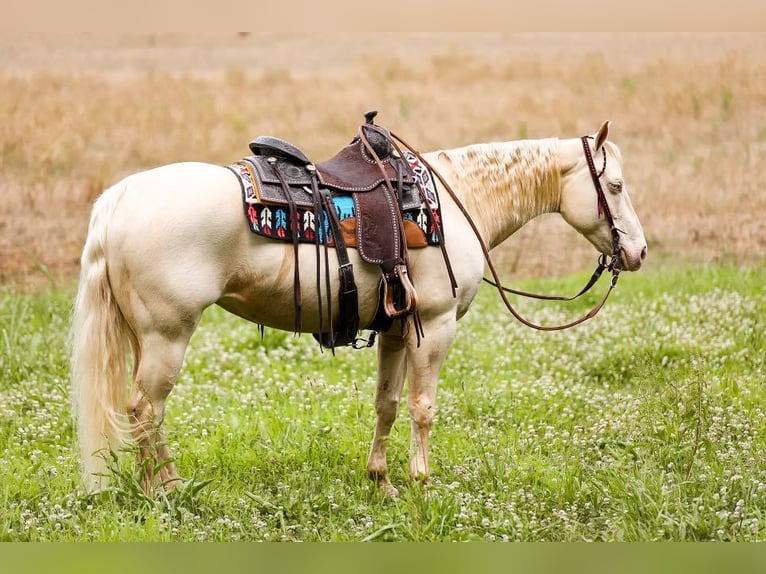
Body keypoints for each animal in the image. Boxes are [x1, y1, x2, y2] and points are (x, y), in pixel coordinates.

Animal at [71, 120, 647, 496]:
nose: (638, 252)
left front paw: (381, 481)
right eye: (615, 186)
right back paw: (165, 490)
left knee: (141, 413)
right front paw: (420, 483)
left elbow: (386, 404)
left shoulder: (394, 329)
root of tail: (117, 201)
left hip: (143, 335)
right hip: (167, 336)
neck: (457, 200)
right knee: (146, 410)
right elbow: (423, 407)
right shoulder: (433, 327)